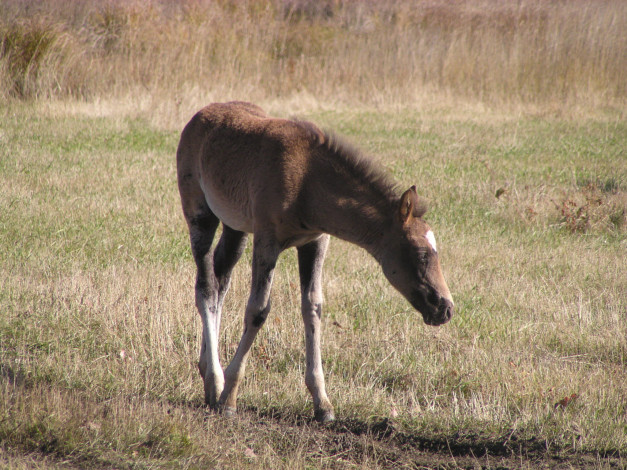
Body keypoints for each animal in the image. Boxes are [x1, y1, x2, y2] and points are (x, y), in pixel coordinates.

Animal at [177, 102, 456, 422]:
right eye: (422, 254)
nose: (445, 308)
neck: (307, 179)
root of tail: (201, 114)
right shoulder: (267, 241)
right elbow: (258, 310)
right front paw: (230, 399)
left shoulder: (315, 242)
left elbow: (313, 308)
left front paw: (322, 403)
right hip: (200, 216)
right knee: (206, 287)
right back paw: (216, 382)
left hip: (236, 226)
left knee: (221, 279)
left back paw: (208, 376)